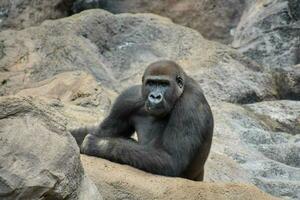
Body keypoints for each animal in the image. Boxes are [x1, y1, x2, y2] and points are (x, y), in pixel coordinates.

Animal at [71, 60, 213, 180]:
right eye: (151, 83)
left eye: (164, 84)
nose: (155, 96)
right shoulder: (128, 98)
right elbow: (103, 131)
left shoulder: (190, 104)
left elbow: (171, 159)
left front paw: (98, 144)